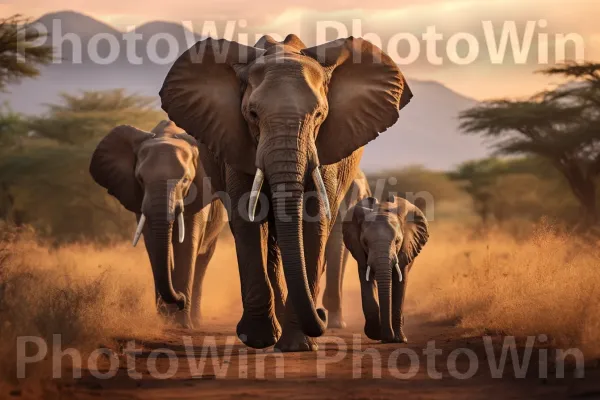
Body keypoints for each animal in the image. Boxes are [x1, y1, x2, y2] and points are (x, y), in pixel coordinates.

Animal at [89, 120, 227, 330]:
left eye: (185, 180)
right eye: (140, 179)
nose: (180, 299)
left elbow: (187, 244)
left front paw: (182, 324)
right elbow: (154, 243)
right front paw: (166, 320)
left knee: (203, 258)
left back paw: (195, 321)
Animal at [342, 197, 426, 344]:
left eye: (397, 241)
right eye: (365, 242)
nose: (387, 338)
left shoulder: (405, 249)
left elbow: (400, 283)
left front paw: (399, 340)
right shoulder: (360, 251)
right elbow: (366, 282)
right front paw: (376, 334)